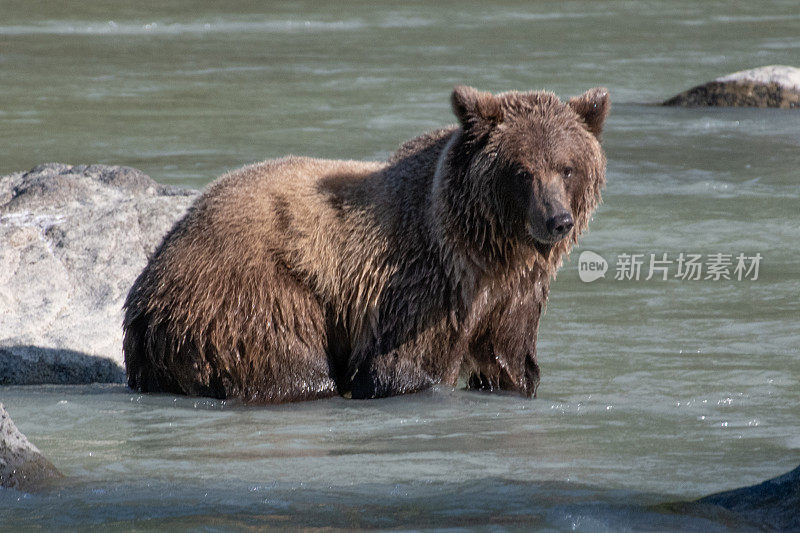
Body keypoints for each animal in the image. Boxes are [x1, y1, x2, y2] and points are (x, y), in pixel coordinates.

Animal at [125, 86, 608, 404]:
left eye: (567, 167)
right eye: (522, 171)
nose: (557, 220)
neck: (487, 251)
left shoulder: (513, 295)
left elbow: (509, 362)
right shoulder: (420, 284)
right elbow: (399, 369)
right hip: (247, 292)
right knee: (290, 367)